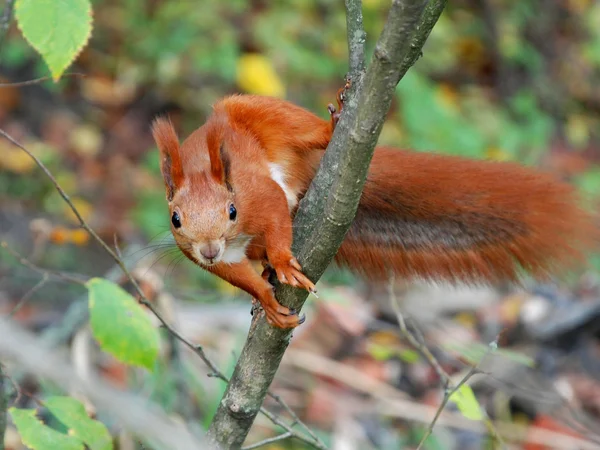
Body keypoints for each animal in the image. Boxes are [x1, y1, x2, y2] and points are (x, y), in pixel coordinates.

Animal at [151, 90, 596, 326]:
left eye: (232, 211)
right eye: (175, 219)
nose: (210, 248)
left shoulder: (261, 197)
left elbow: (275, 213)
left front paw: (282, 264)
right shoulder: (207, 258)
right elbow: (235, 275)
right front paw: (265, 298)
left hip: (256, 109)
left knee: (300, 132)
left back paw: (331, 129)